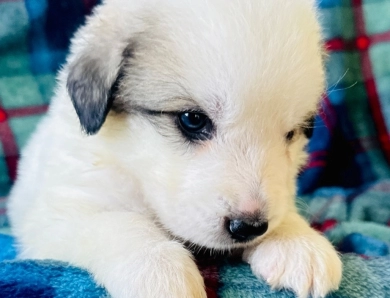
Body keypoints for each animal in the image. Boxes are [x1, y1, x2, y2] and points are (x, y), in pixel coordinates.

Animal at [6, 0, 342, 296]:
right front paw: (157, 271)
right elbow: (118, 222)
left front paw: (297, 242)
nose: (249, 227)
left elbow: (283, 207)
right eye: (192, 120)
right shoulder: (59, 211)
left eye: (291, 133)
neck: (130, 165)